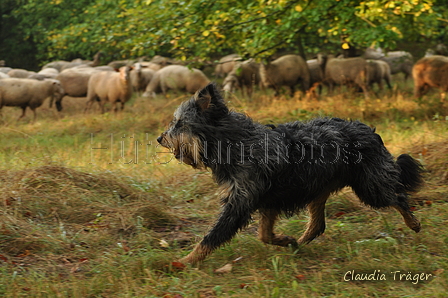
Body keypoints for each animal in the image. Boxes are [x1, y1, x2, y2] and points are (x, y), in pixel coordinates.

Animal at [158, 82, 424, 264]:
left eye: (179, 124)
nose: (160, 138)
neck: (236, 142)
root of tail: (369, 130)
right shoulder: (268, 200)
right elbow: (264, 235)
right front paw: (285, 240)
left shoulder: (240, 203)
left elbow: (211, 237)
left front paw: (183, 262)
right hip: (318, 189)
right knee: (318, 226)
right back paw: (298, 244)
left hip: (370, 188)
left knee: (399, 197)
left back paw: (413, 223)